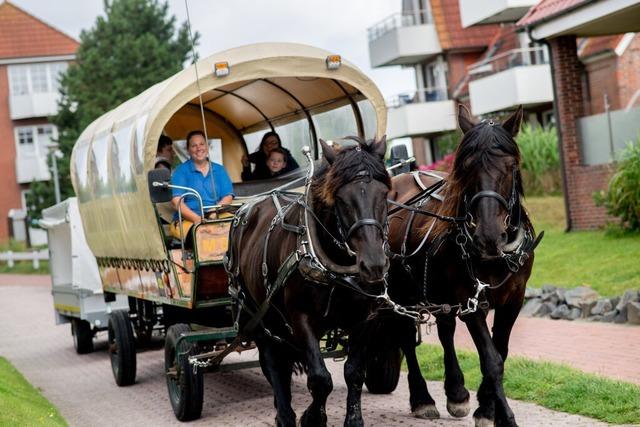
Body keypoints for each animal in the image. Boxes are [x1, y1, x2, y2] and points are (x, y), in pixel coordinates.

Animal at [228, 138, 392, 427]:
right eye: (341, 199)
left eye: (383, 194)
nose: (373, 264)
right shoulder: (300, 318)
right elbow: (320, 378)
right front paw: (312, 417)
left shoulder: (365, 318)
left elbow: (354, 372)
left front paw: (353, 420)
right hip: (258, 316)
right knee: (273, 364)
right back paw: (285, 415)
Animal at [382, 104, 544, 427]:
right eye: (467, 167)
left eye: (510, 166)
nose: (488, 236)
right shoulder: (472, 301)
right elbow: (491, 359)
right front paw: (503, 415)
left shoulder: (514, 299)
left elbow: (501, 350)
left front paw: (486, 406)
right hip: (400, 291)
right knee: (405, 336)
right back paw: (422, 398)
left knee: (445, 330)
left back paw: (456, 392)